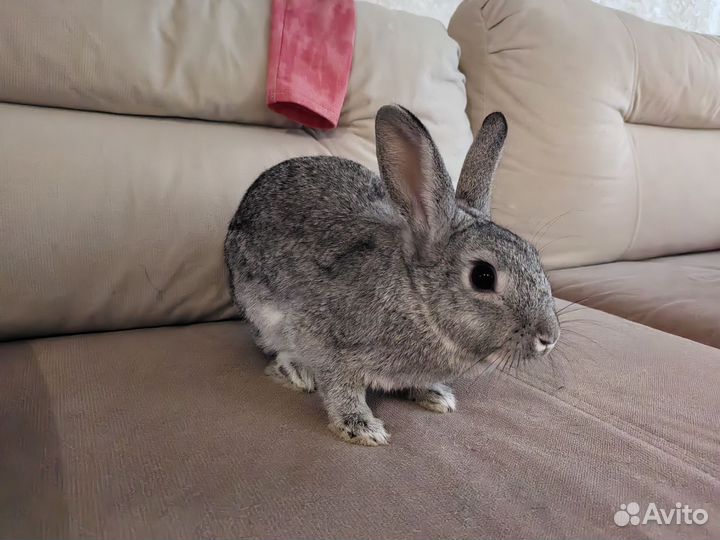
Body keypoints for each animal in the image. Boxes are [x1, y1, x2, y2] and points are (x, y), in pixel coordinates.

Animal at [224, 105, 560, 446]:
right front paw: (361, 427)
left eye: (533, 254)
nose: (549, 338)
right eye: (483, 276)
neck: (417, 300)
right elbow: (339, 387)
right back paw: (297, 371)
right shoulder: (324, 340)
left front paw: (435, 395)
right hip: (259, 311)